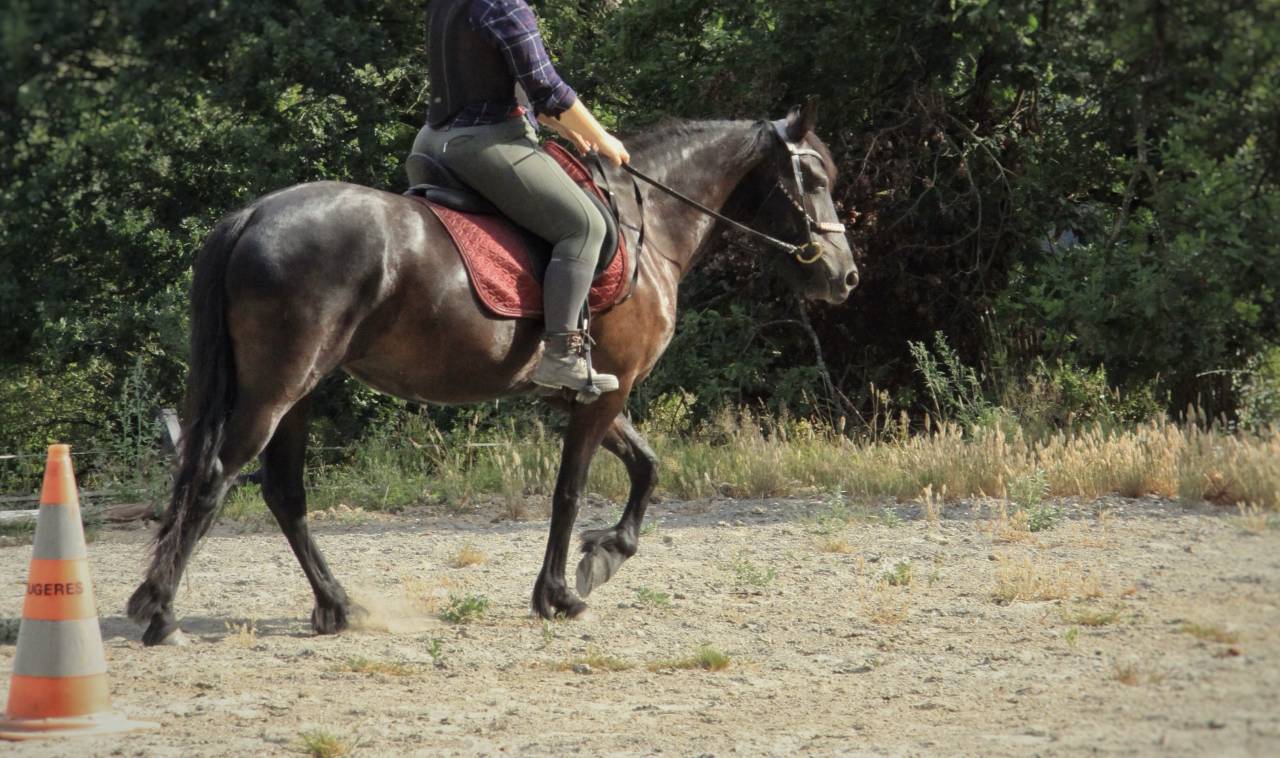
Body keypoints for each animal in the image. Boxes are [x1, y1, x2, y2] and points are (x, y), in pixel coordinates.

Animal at [126, 101, 859, 645]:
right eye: (817, 180)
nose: (846, 277)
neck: (647, 221)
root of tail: (253, 215)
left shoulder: (591, 392)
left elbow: (646, 465)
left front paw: (602, 558)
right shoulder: (606, 392)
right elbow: (570, 490)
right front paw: (562, 593)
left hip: (296, 393)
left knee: (282, 491)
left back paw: (336, 606)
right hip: (276, 389)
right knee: (215, 478)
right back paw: (160, 612)